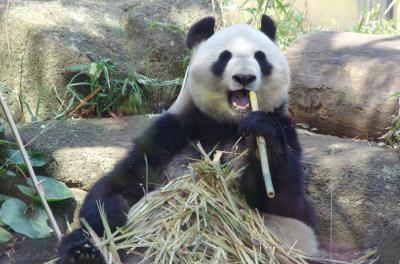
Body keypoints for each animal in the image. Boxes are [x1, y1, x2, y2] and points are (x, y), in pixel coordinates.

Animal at [57, 14, 318, 264]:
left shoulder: (285, 128)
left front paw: (262, 133)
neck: (229, 124)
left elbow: (289, 203)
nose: (244, 77)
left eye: (261, 57)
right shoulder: (173, 131)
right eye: (224, 57)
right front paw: (111, 214)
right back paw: (82, 253)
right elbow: (126, 179)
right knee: (84, 238)